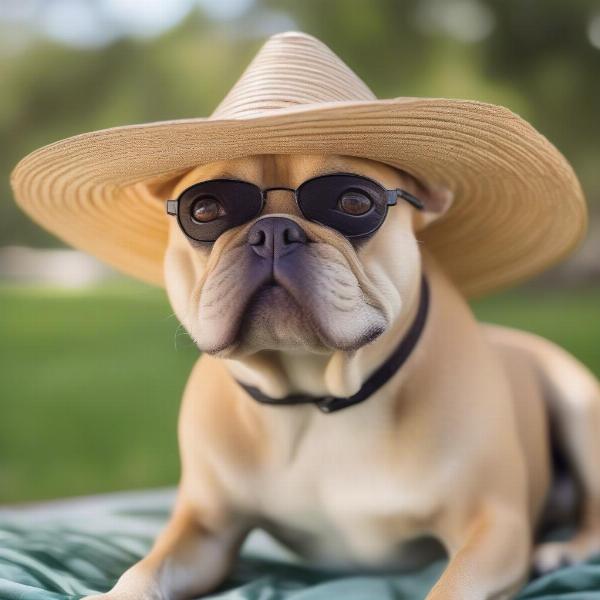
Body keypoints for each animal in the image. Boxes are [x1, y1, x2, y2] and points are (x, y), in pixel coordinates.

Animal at [85, 154, 600, 600]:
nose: (273, 231)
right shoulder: (205, 531)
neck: (319, 396)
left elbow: (454, 587)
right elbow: (147, 568)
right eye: (206, 209)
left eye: (353, 202)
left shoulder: (492, 525)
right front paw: (117, 592)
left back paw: (563, 551)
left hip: (577, 408)